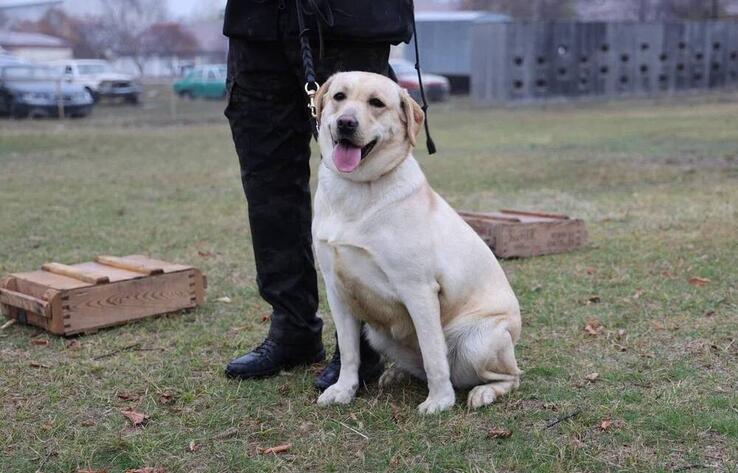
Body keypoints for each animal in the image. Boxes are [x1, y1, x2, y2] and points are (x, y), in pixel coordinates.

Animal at [314, 71, 520, 412]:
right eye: (339, 97)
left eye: (376, 103)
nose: (345, 123)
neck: (358, 188)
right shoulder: (336, 288)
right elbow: (349, 351)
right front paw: (344, 390)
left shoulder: (418, 289)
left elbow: (433, 352)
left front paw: (440, 401)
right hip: (378, 334)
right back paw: (397, 373)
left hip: (477, 341)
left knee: (510, 376)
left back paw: (483, 392)